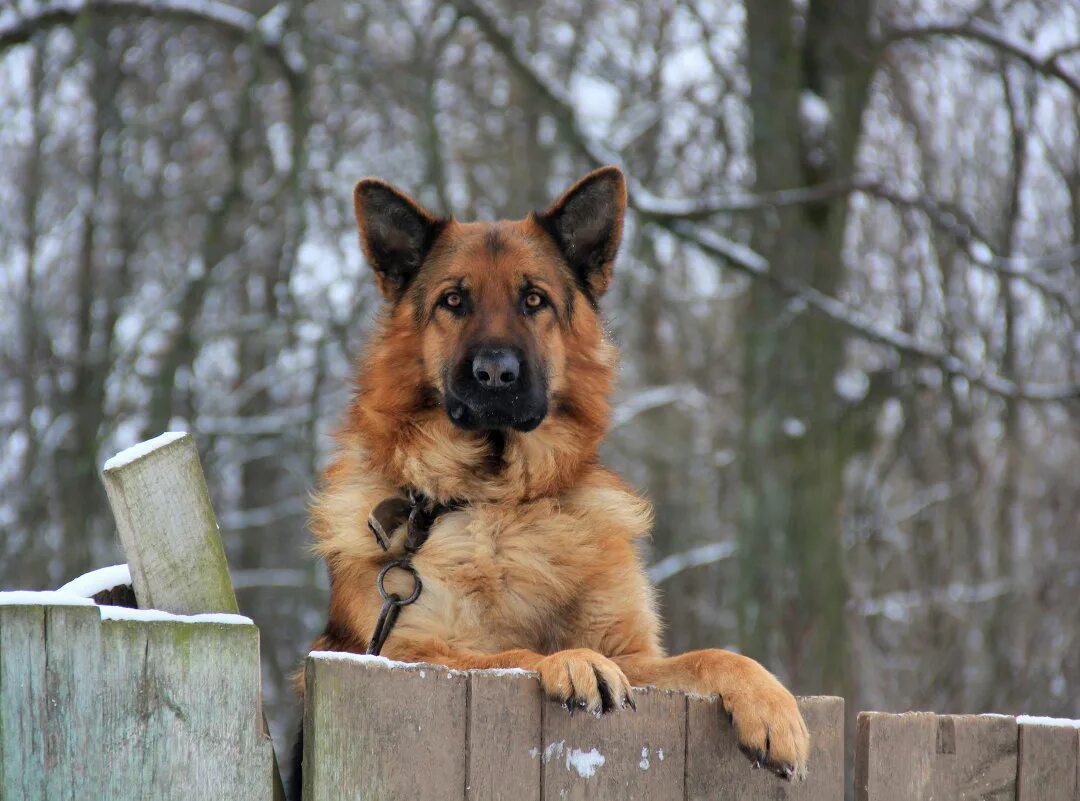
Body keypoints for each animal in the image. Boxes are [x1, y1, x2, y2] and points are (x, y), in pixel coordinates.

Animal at [291, 166, 807, 794]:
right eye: (453, 301)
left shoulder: (634, 655)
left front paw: (773, 706)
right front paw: (571, 660)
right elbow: (504, 653)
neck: (500, 501)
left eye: (533, 299)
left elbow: (711, 656)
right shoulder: (402, 651)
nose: (495, 373)